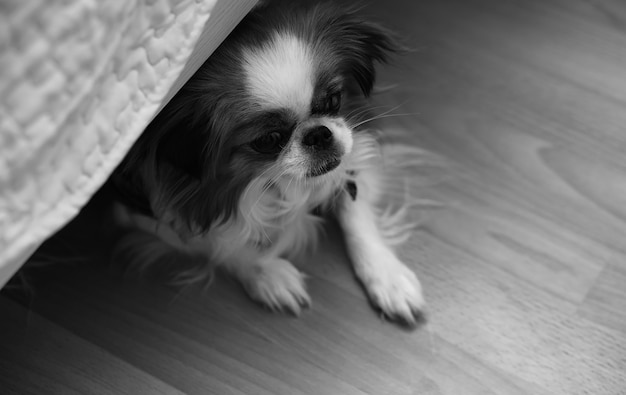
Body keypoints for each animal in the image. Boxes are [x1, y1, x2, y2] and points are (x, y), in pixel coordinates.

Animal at [111, 0, 424, 326]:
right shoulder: (143, 212)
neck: (272, 183)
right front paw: (269, 275)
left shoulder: (351, 162)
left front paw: (387, 276)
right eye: (269, 139)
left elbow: (355, 214)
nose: (318, 134)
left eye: (332, 101)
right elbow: (219, 245)